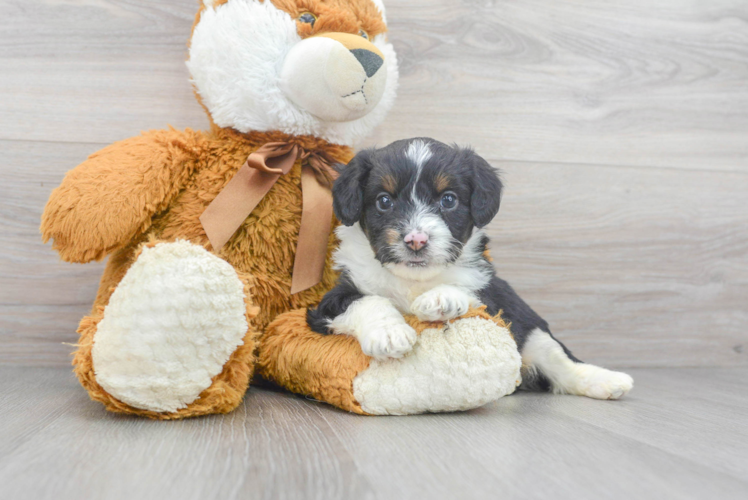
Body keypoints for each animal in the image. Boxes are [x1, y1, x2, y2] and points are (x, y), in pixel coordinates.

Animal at [306, 137, 636, 398]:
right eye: (384, 201)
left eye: (449, 200)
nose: (416, 240)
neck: (414, 280)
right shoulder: (329, 302)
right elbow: (368, 301)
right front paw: (389, 334)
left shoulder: (492, 294)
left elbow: (468, 289)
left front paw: (440, 298)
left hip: (534, 334)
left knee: (562, 364)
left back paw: (608, 381)